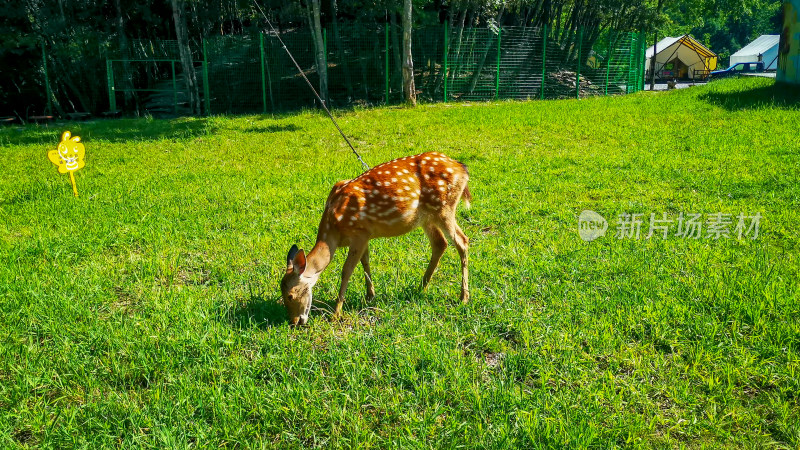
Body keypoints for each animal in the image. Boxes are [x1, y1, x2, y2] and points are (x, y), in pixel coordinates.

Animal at [280, 153, 468, 326]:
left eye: (290, 296)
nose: (294, 322)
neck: (334, 231)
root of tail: (462, 168)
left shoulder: (359, 233)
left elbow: (347, 270)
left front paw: (336, 313)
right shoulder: (365, 235)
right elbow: (365, 262)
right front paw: (370, 295)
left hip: (444, 207)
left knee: (462, 241)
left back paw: (463, 297)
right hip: (427, 217)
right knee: (440, 243)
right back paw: (421, 286)